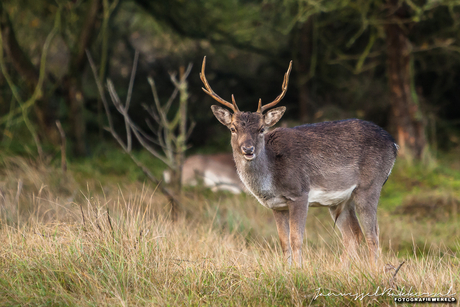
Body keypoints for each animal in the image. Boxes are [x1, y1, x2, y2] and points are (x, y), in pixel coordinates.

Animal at [199, 57, 398, 268]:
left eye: (261, 129)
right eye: (233, 128)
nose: (248, 149)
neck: (271, 178)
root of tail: (394, 144)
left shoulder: (299, 193)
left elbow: (296, 239)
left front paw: (298, 270)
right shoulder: (277, 205)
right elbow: (283, 241)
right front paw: (287, 270)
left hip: (370, 185)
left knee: (373, 235)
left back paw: (374, 271)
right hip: (341, 200)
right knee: (353, 235)